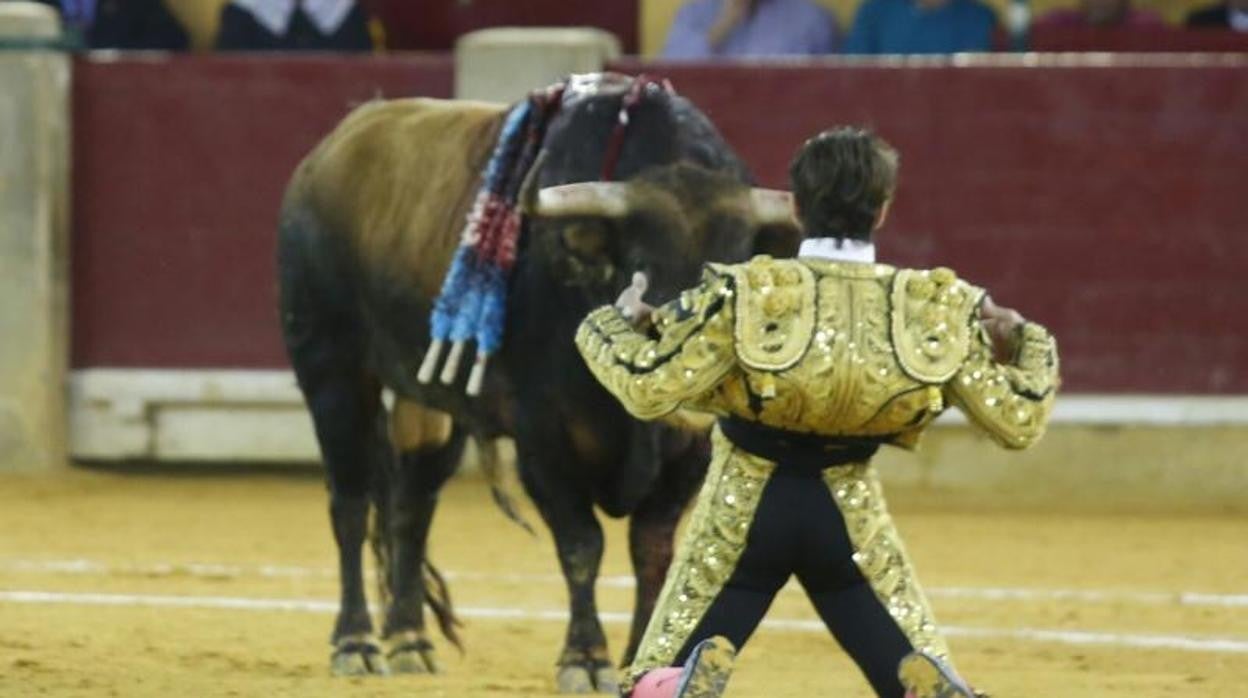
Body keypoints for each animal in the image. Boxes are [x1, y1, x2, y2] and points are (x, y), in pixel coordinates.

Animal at [275, 77, 798, 694]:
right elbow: (581, 545)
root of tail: (327, 155)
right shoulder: (545, 441)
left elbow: (652, 550)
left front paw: (640, 662)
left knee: (411, 504)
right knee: (351, 503)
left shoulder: (687, 451)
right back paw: (355, 642)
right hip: (331, 371)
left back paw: (408, 641)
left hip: (428, 399)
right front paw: (585, 659)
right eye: (646, 257)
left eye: (740, 259)